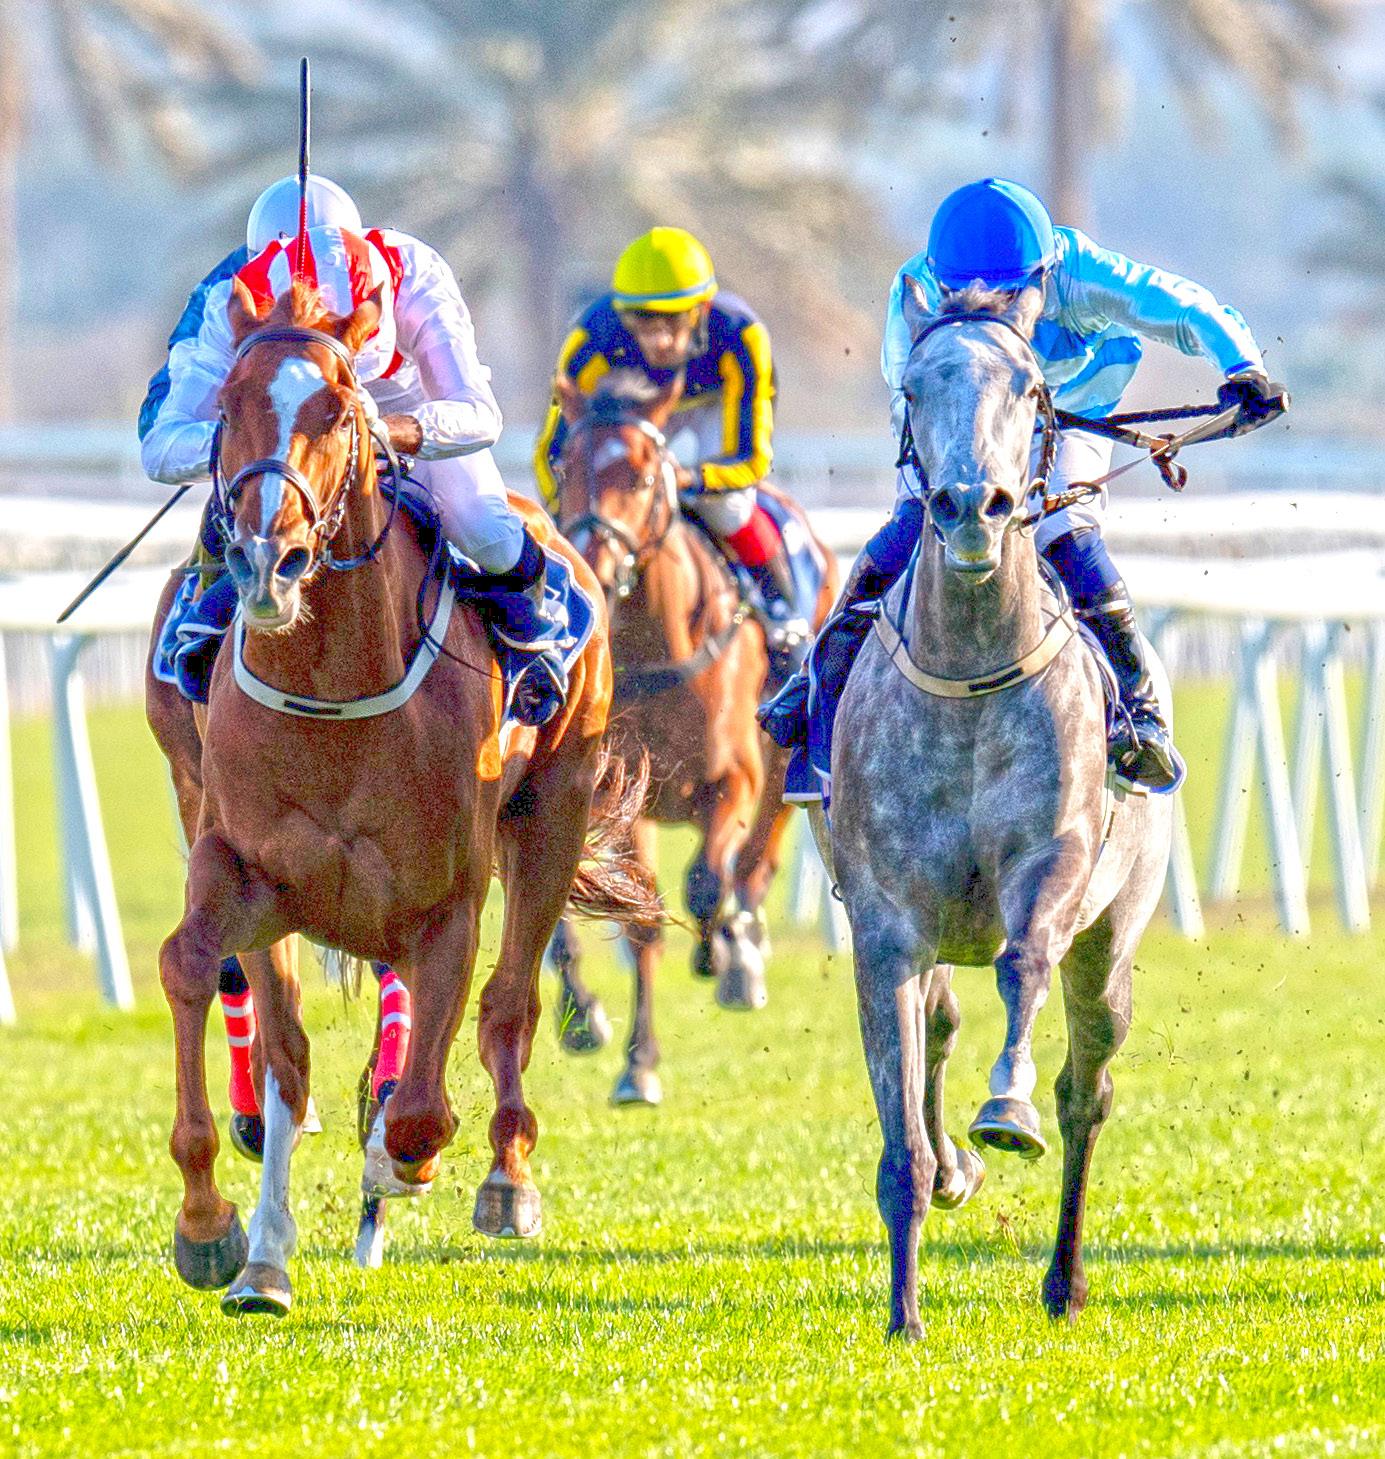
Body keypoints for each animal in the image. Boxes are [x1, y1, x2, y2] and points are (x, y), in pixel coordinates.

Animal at [145, 277, 659, 1315]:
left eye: (339, 409)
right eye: (226, 405)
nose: (267, 561)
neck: (332, 694)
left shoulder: (443, 905)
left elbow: (424, 1103)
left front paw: (396, 1160)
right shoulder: (242, 867)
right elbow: (200, 976)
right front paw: (213, 1227)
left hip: (552, 815)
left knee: (509, 1006)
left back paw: (503, 1180)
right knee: (289, 1053)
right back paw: (267, 1258)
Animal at [547, 371, 838, 1105]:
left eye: (646, 475)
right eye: (563, 466)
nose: (591, 562)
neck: (656, 648)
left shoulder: (732, 777)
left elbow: (708, 881)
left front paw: (723, 951)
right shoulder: (620, 791)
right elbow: (642, 912)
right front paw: (637, 1062)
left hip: (785, 756)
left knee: (758, 856)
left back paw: (744, 950)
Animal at [817, 279, 1174, 1337]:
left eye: (1027, 386)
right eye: (914, 386)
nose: (972, 506)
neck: (971, 670)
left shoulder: (1051, 861)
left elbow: (1023, 963)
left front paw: (1003, 1111)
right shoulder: (885, 923)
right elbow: (901, 1136)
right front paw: (904, 1313)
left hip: (1114, 937)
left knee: (1087, 1088)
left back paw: (1063, 1277)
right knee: (940, 1026)